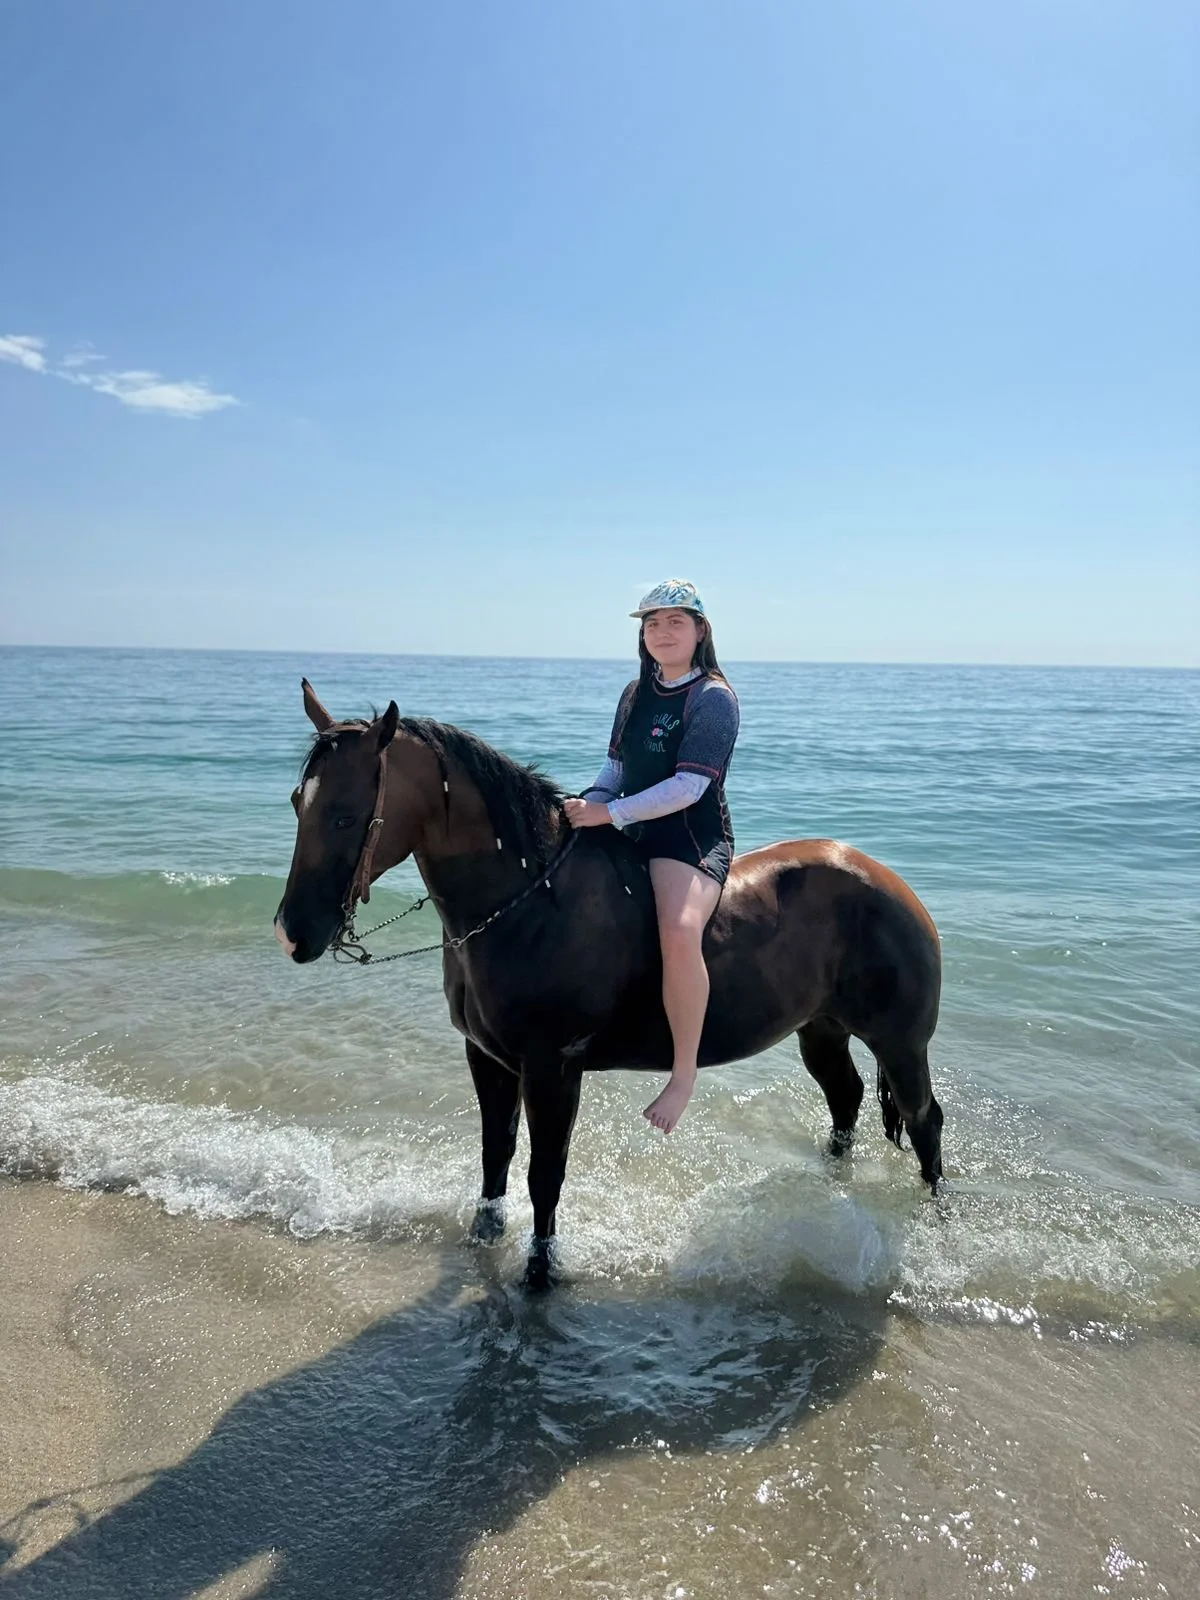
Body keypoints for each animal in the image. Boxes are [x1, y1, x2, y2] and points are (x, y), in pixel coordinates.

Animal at [274, 680, 944, 1288]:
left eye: (346, 815)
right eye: (298, 802)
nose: (291, 933)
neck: (531, 902)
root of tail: (888, 882)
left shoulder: (553, 1068)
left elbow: (545, 1174)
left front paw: (540, 1272)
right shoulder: (487, 1057)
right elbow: (496, 1154)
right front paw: (484, 1239)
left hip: (901, 1045)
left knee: (923, 1121)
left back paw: (936, 1221)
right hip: (822, 1032)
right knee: (846, 1098)